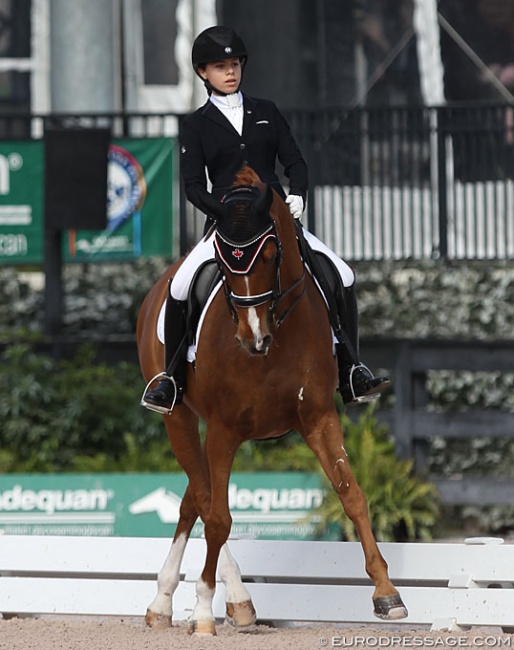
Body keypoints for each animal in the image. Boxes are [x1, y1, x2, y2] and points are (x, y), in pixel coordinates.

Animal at [135, 165, 404, 632]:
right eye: (223, 260)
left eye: (270, 254)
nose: (252, 337)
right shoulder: (223, 429)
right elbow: (219, 517)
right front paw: (203, 611)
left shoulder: (318, 417)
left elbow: (352, 494)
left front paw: (387, 594)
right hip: (178, 417)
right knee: (204, 498)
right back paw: (192, 599)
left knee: (194, 496)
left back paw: (183, 601)